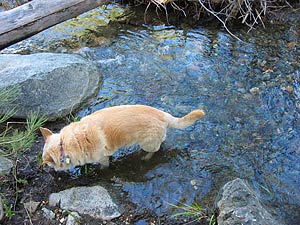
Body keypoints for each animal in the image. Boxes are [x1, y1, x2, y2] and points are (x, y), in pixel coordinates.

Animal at [40, 105, 204, 171]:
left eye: (48, 164)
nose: (47, 169)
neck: (65, 144)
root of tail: (163, 115)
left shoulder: (102, 158)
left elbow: (104, 166)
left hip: (147, 144)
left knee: (154, 150)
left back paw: (146, 157)